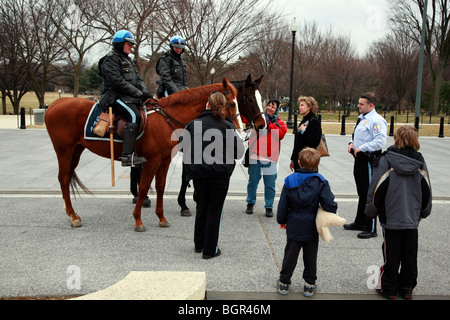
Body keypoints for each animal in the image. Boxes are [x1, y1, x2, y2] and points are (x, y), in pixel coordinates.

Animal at [46, 77, 239, 232]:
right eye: (232, 103)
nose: (238, 127)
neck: (165, 119)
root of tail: (54, 104)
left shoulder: (164, 161)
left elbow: (160, 187)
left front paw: (161, 218)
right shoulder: (152, 161)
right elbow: (144, 187)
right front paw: (138, 220)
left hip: (76, 150)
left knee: (66, 178)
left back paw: (71, 213)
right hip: (64, 150)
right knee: (63, 178)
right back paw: (73, 217)